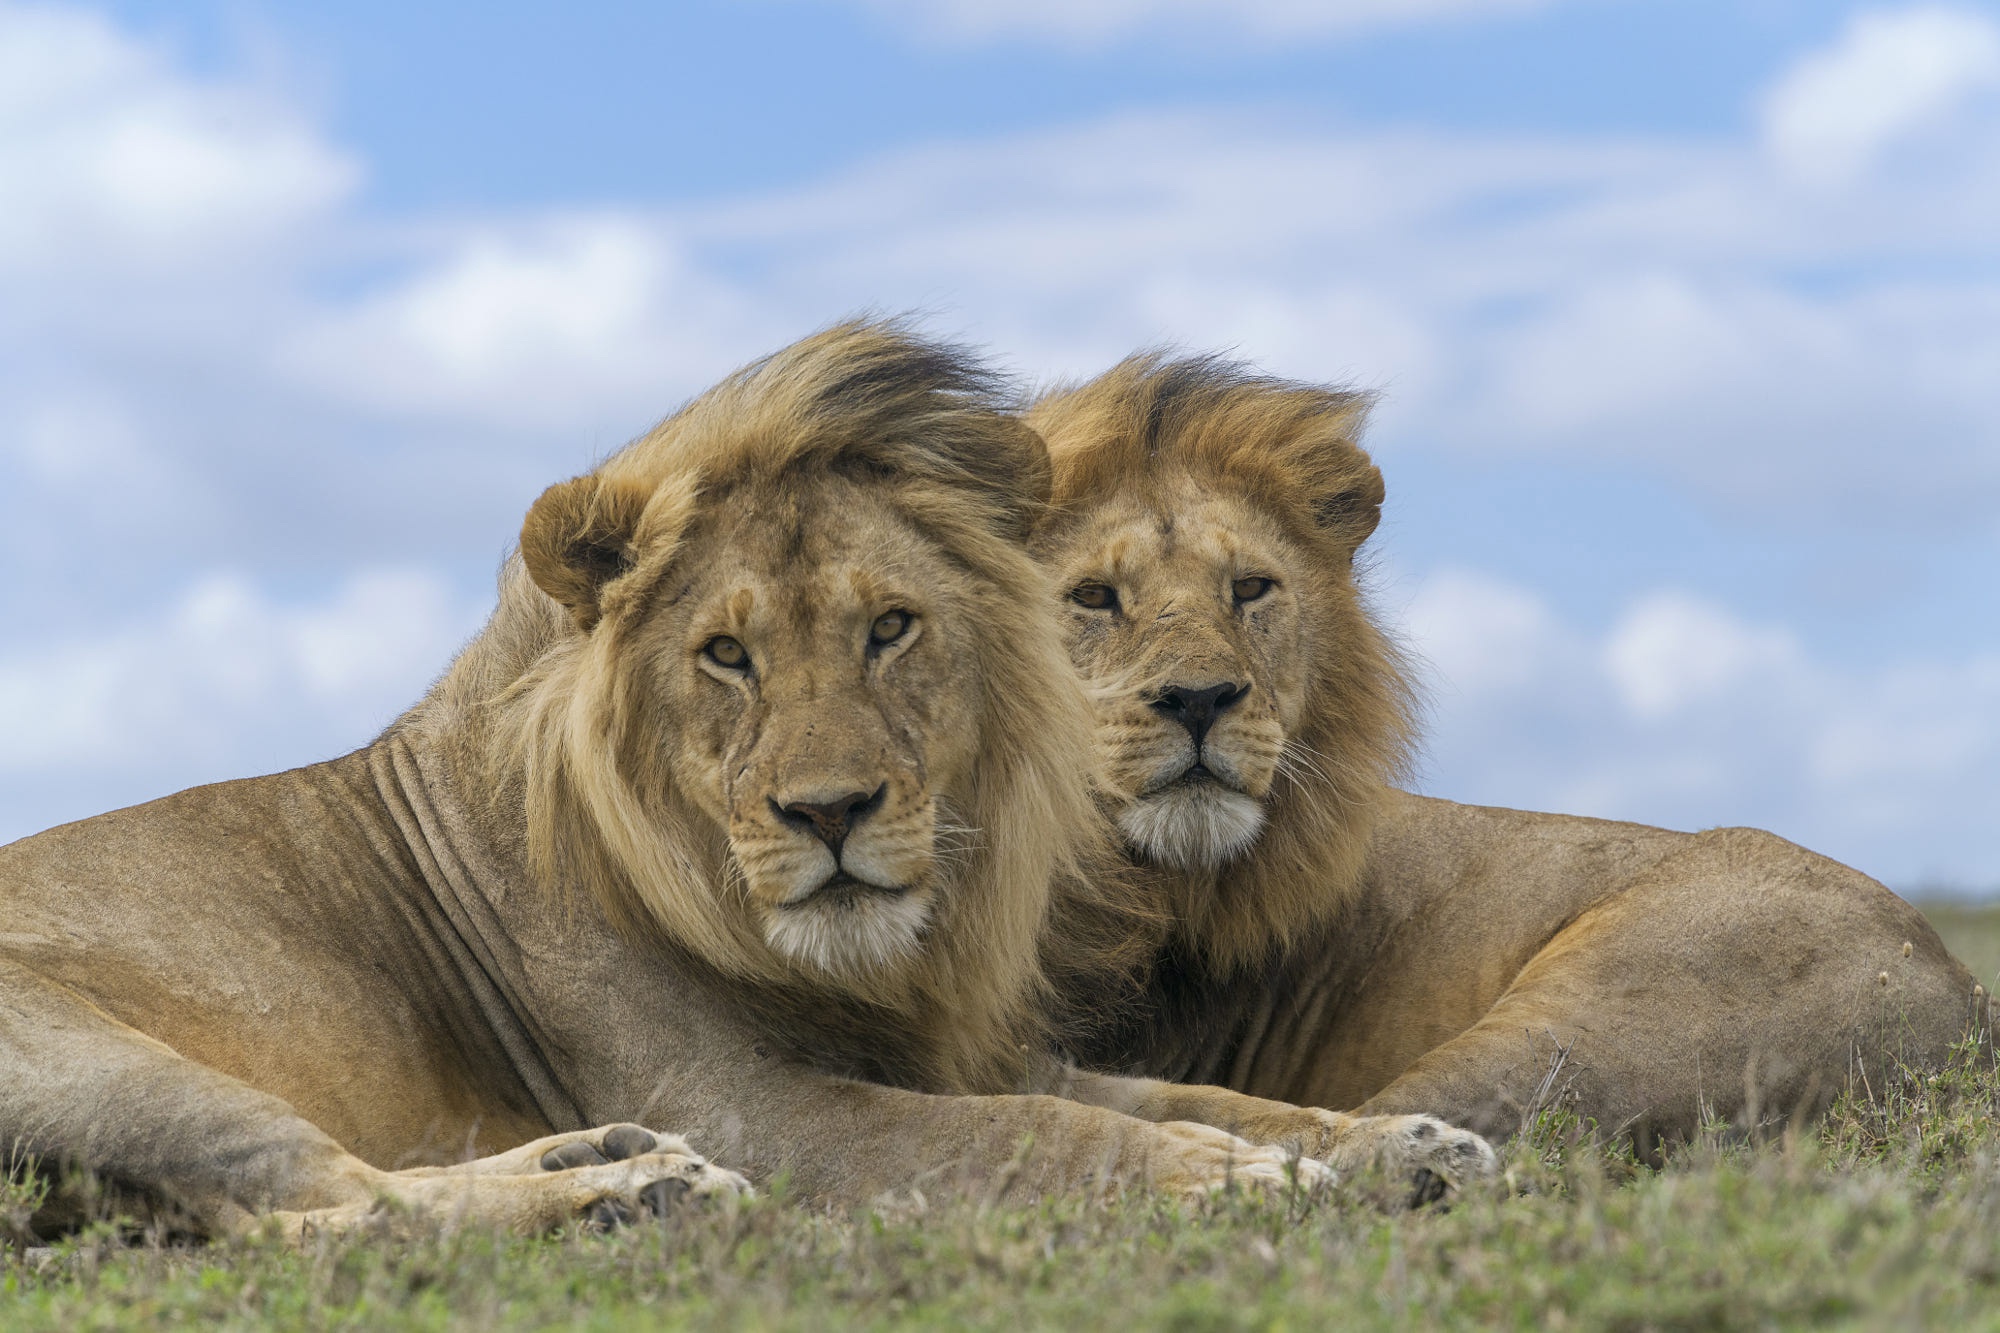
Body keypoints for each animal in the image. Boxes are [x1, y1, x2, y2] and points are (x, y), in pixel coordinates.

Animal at [11, 322, 1408, 1232]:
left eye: (888, 627)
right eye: (725, 655)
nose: (829, 813)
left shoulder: (948, 1047)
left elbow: (1190, 1090)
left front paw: (1399, 1142)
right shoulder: (747, 1106)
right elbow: (1023, 1130)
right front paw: (1223, 1178)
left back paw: (606, 1162)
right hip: (111, 1066)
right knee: (332, 1217)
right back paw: (637, 1192)